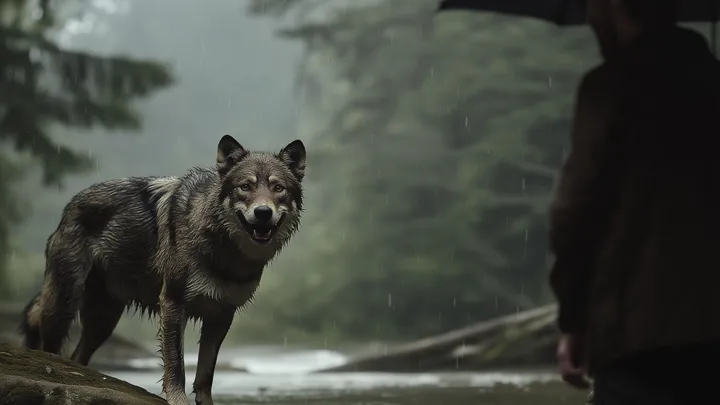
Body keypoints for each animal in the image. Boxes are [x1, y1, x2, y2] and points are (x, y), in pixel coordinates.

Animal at [19, 135, 306, 405]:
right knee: (51, 348)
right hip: (64, 304)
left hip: (103, 321)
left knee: (78, 358)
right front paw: (177, 400)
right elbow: (176, 366)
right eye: (245, 187)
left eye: (278, 188)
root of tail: (71, 205)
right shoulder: (172, 303)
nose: (263, 212)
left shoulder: (222, 314)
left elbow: (206, 373)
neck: (222, 250)